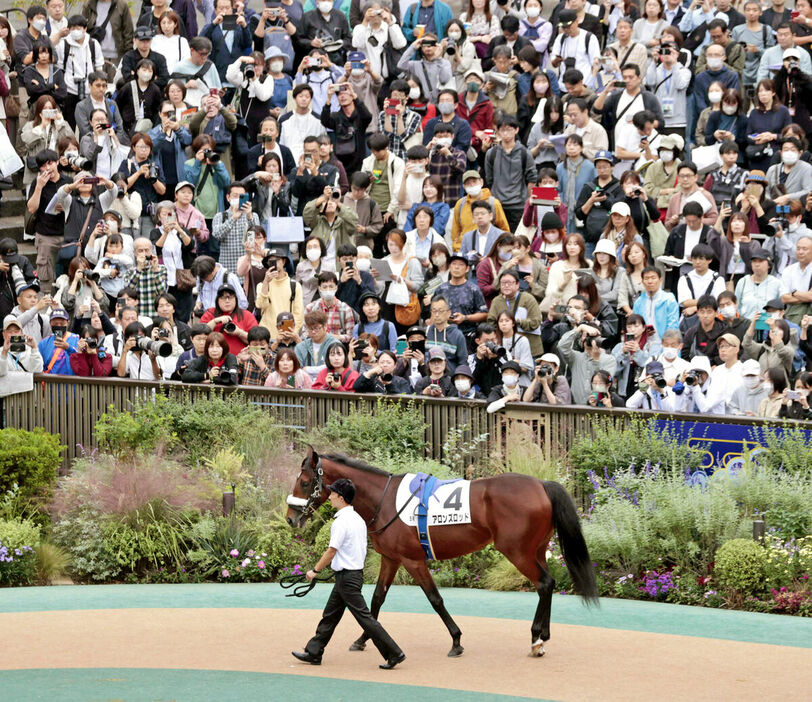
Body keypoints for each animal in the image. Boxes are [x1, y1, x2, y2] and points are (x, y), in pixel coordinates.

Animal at [286, 452, 596, 660]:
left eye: (305, 482)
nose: (290, 518)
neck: (383, 500)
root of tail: (542, 485)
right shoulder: (392, 559)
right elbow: (376, 600)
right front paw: (363, 639)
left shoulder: (413, 560)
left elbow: (435, 599)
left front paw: (456, 641)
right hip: (537, 550)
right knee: (549, 584)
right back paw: (543, 636)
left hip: (517, 552)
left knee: (543, 583)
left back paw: (535, 638)